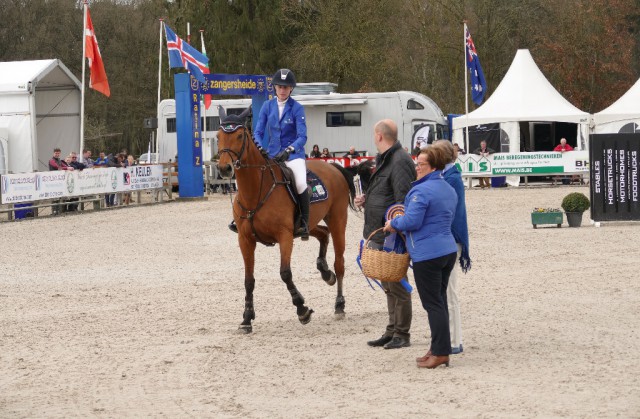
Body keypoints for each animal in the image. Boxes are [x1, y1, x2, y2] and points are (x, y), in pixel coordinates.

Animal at [215, 108, 356, 334]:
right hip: (308, 225)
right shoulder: (245, 240)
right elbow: (248, 280)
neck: (256, 190)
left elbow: (285, 273)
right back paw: (326, 272)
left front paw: (302, 309)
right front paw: (246, 318)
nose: (224, 168)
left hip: (337, 220)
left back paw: (339, 304)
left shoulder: (285, 236)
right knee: (322, 235)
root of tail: (333, 167)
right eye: (218, 136)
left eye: (239, 136)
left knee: (340, 261)